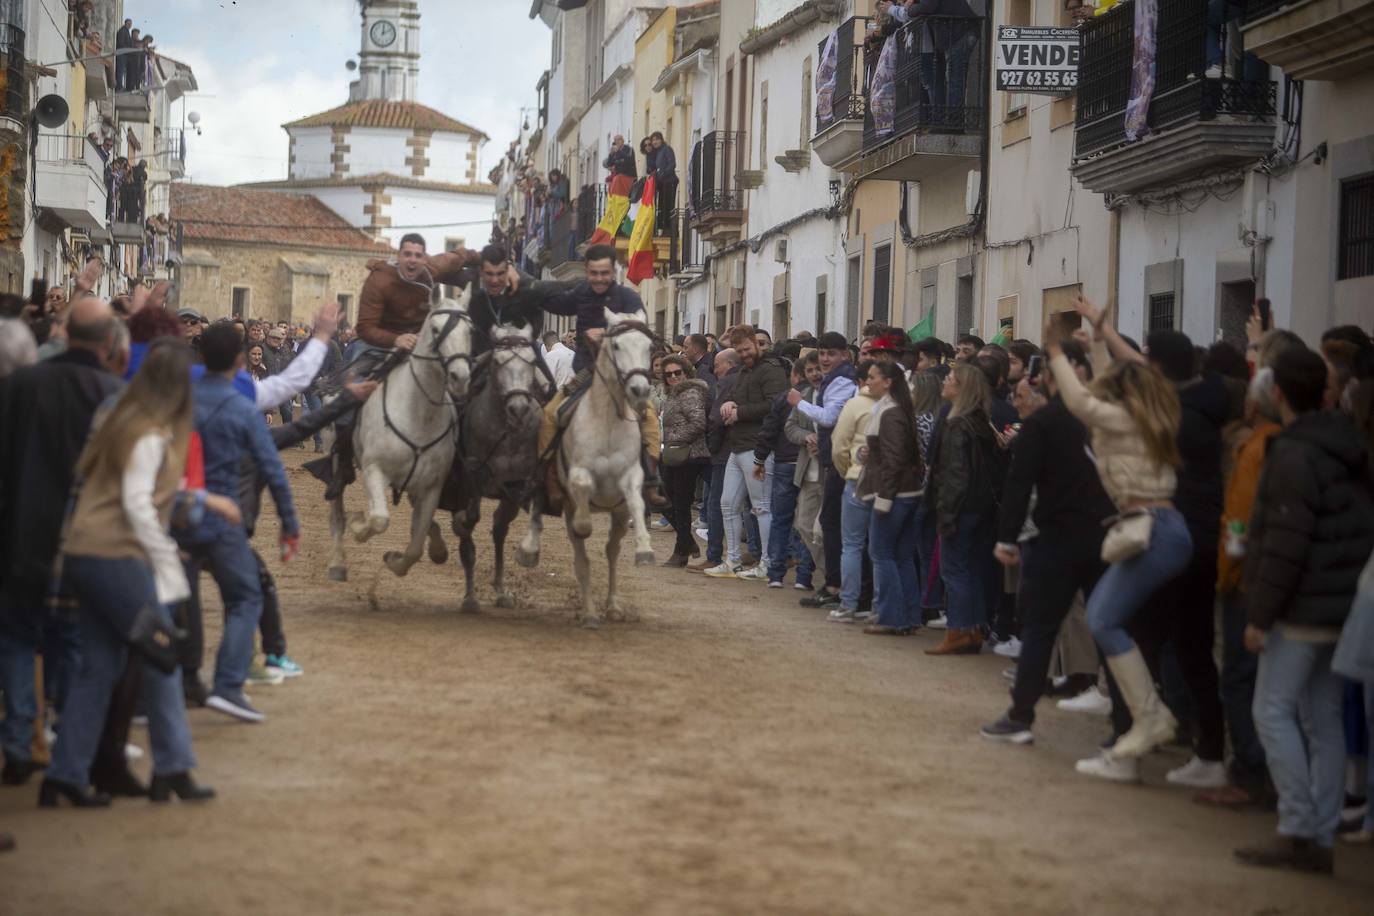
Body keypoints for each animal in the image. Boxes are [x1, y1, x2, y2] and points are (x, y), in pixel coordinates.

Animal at [325, 289, 472, 585]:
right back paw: (337, 562)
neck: (418, 414)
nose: (460, 377)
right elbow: (379, 519)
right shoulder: (374, 470)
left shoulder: (431, 487)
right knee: (337, 513)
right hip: (338, 467)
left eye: (469, 330)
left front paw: (395, 561)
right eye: (435, 329)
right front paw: (359, 525)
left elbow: (415, 545)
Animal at [450, 322, 546, 615]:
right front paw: (470, 598)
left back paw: (501, 590)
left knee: (500, 528)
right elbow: (469, 520)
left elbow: (511, 523)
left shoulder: (520, 483)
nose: (518, 408)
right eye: (497, 361)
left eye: (532, 360)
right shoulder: (472, 477)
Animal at [541, 311, 659, 626]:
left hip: (617, 514)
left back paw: (613, 606)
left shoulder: (630, 477)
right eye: (616, 345)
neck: (607, 419)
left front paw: (645, 550)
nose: (639, 390)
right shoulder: (578, 477)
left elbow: (636, 502)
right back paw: (590, 613)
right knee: (582, 558)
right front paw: (584, 525)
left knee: (612, 551)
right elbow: (582, 497)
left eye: (649, 347)